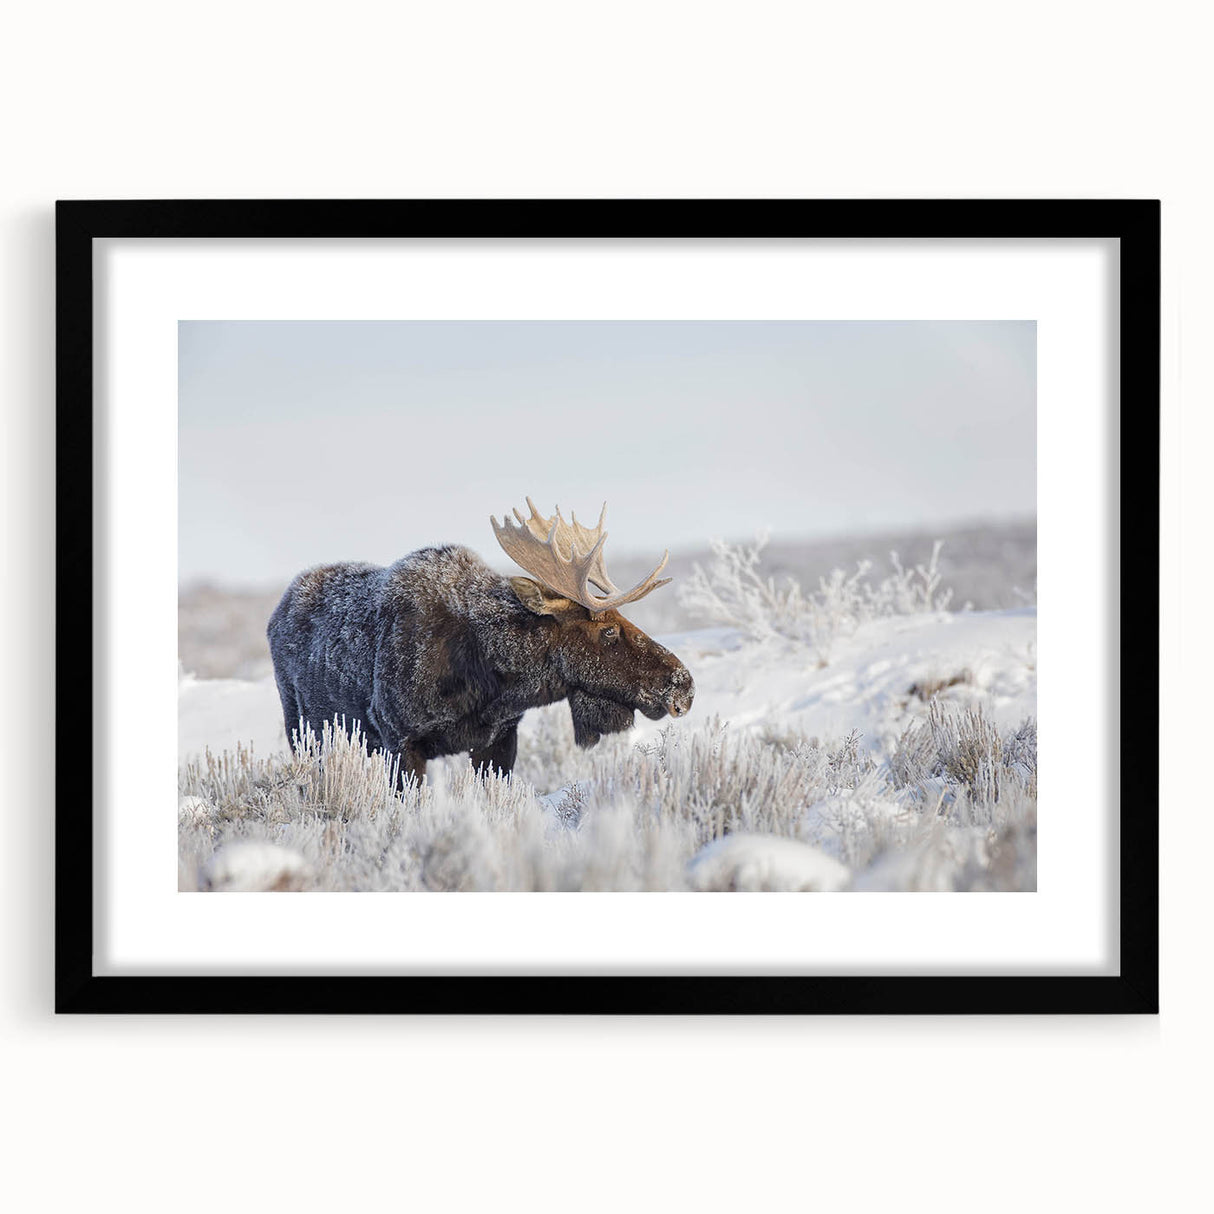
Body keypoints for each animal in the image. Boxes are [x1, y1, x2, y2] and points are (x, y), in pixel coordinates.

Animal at [267, 499, 695, 784]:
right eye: (608, 630)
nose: (684, 686)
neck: (490, 679)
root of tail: (276, 612)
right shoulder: (400, 740)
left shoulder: (499, 740)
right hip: (305, 734)